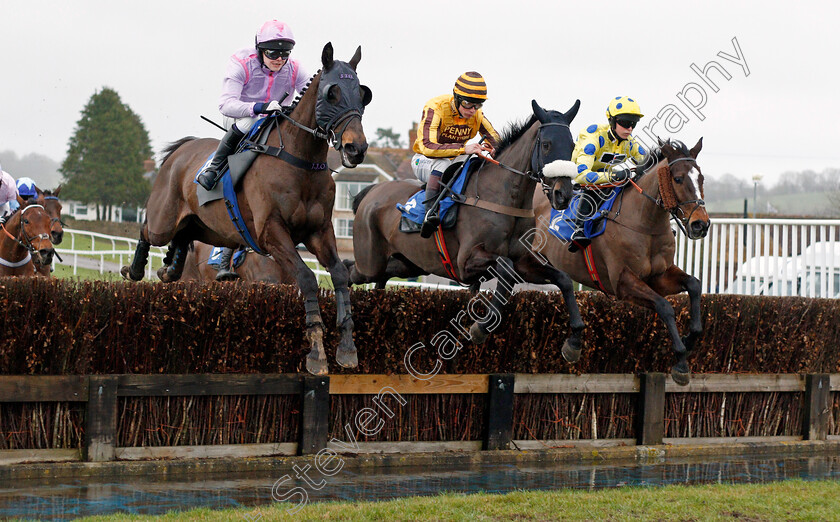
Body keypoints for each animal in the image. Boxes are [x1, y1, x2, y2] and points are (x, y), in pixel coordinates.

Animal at [120, 41, 370, 374]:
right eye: (332, 93)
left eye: (362, 94)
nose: (357, 148)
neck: (298, 161)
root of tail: (181, 150)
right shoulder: (271, 233)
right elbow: (306, 279)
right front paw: (316, 351)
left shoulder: (319, 231)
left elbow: (340, 275)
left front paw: (347, 347)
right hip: (164, 219)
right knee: (148, 230)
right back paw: (134, 269)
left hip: (209, 229)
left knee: (183, 238)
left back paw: (169, 269)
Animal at [346, 97, 584, 350]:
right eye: (547, 144)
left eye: (572, 146)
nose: (563, 194)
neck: (501, 198)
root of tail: (371, 192)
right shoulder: (466, 261)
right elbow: (506, 269)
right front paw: (481, 327)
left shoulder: (524, 262)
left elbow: (562, 279)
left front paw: (575, 340)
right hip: (370, 261)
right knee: (350, 270)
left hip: (407, 263)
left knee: (367, 272)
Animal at [532, 136, 708, 384]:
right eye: (678, 179)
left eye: (701, 178)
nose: (701, 224)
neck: (645, 224)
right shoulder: (622, 283)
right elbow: (664, 307)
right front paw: (681, 362)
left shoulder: (658, 277)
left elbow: (694, 284)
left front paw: (690, 339)